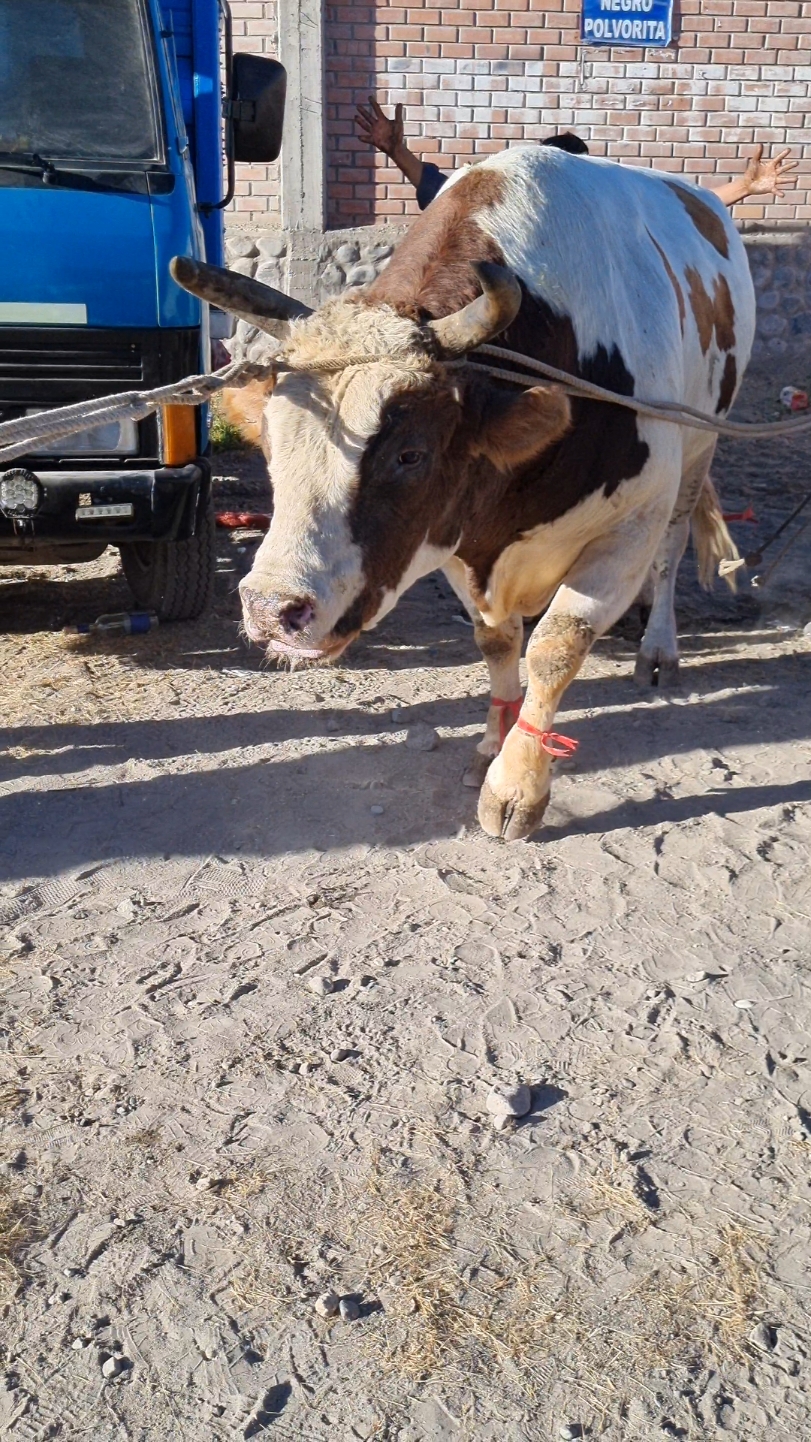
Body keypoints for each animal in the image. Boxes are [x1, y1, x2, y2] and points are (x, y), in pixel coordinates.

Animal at [173, 140, 756, 842]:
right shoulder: (457, 539)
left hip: (701, 445)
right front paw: (491, 745)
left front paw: (518, 786)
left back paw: (658, 648)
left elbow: (555, 648)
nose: (269, 609)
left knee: (671, 553)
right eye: (271, 442)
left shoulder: (628, 528)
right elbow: (497, 643)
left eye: (410, 453)